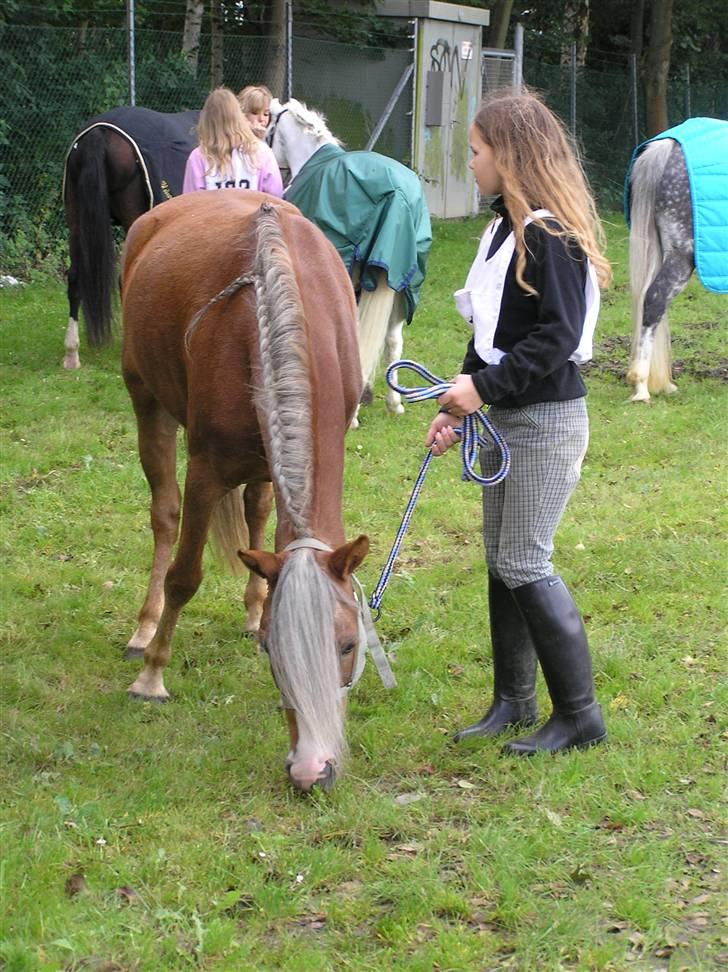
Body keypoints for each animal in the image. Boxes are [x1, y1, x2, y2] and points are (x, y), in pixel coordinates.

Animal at [123, 194, 370, 792]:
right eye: (277, 652)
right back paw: (145, 629)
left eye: (348, 645)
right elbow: (185, 575)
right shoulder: (206, 473)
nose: (312, 771)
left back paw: (254, 606)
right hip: (147, 402)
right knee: (163, 517)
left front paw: (257, 612)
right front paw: (152, 677)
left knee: (258, 513)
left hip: (262, 462)